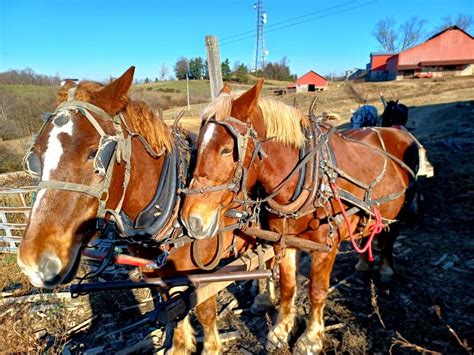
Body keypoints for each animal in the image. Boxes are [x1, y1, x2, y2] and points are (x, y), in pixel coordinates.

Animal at [180, 80, 424, 354]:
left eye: (224, 150)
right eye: (197, 146)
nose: (191, 220)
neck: (307, 179)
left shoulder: (325, 247)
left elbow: (317, 290)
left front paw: (311, 338)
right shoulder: (284, 242)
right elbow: (288, 286)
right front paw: (281, 330)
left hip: (402, 206)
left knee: (390, 236)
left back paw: (385, 269)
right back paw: (363, 263)